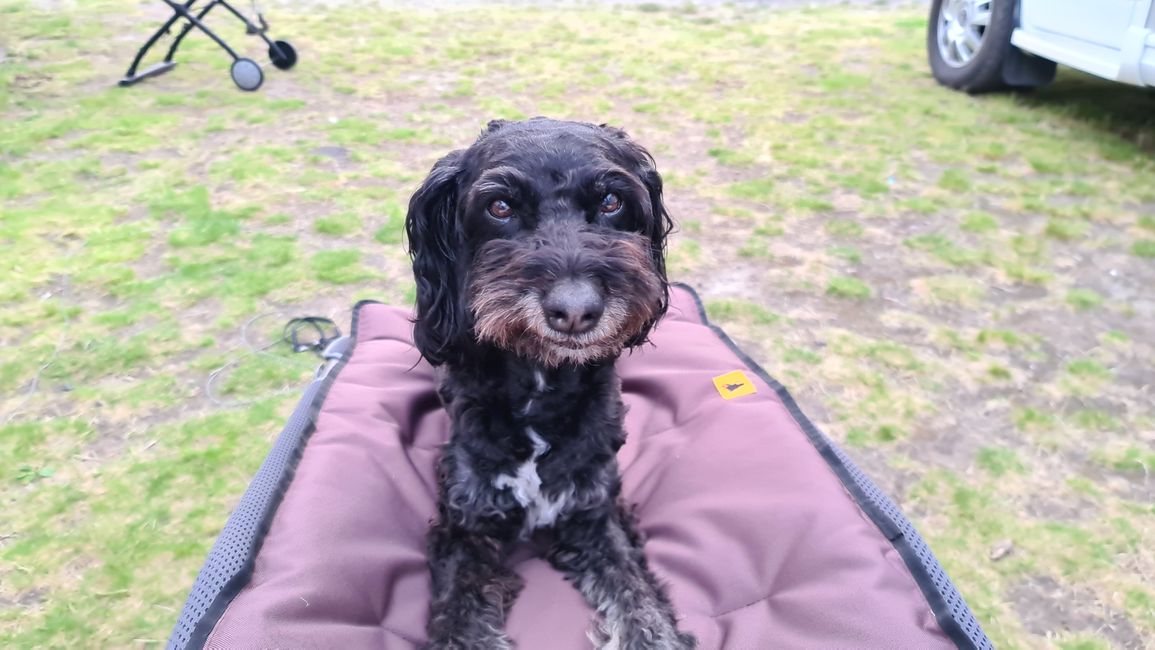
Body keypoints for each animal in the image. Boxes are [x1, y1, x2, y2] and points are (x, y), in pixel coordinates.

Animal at [406, 118, 693, 650]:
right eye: (500, 207)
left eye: (611, 201)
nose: (575, 310)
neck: (541, 382)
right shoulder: (465, 524)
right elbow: (461, 623)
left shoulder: (595, 512)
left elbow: (638, 602)